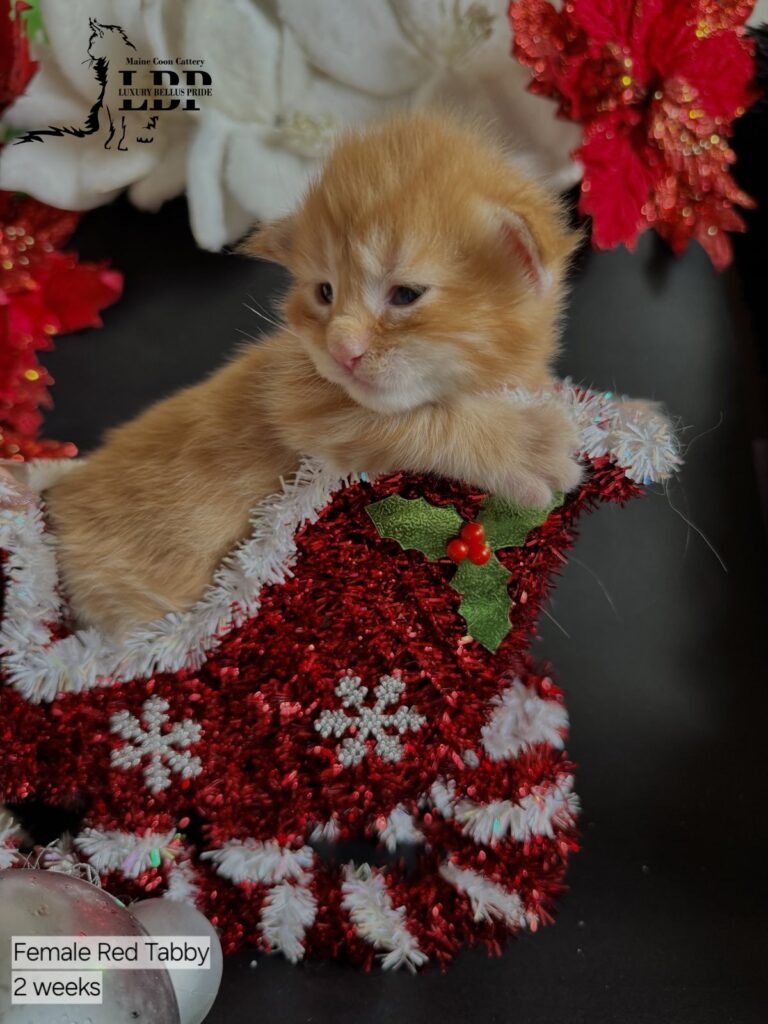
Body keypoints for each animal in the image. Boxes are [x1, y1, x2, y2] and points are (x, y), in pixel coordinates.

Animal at [43, 116, 581, 634]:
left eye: (406, 295)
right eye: (326, 292)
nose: (342, 350)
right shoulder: (294, 394)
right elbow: (418, 420)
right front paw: (526, 443)